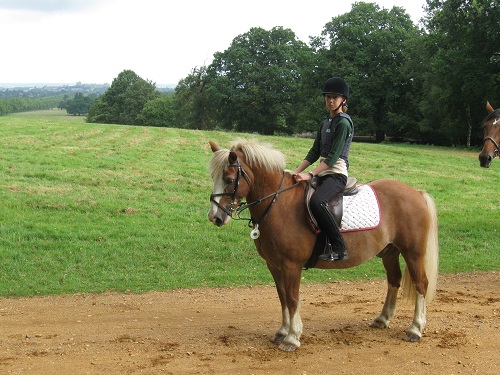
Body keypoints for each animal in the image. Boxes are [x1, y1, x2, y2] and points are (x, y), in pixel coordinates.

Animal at [207, 138, 438, 352]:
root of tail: (416, 193)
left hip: (413, 253)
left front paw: (292, 337)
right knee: (394, 280)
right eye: (214, 177)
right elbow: (282, 296)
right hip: (389, 252)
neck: (279, 203)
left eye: (229, 179)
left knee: (421, 284)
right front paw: (282, 331)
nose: (214, 217)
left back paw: (415, 329)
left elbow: (292, 298)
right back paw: (382, 319)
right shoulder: (274, 265)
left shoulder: (291, 265)